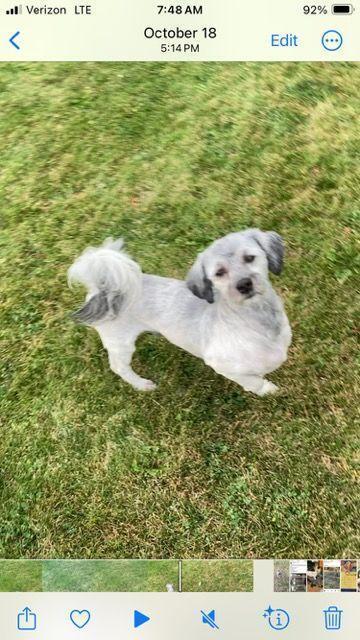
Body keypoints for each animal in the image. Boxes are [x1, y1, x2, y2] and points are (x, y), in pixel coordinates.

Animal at [68, 230, 292, 398]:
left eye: (249, 258)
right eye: (219, 273)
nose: (244, 284)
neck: (257, 319)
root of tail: (103, 290)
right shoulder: (224, 366)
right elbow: (253, 381)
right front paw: (268, 390)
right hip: (120, 343)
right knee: (118, 367)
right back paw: (141, 384)